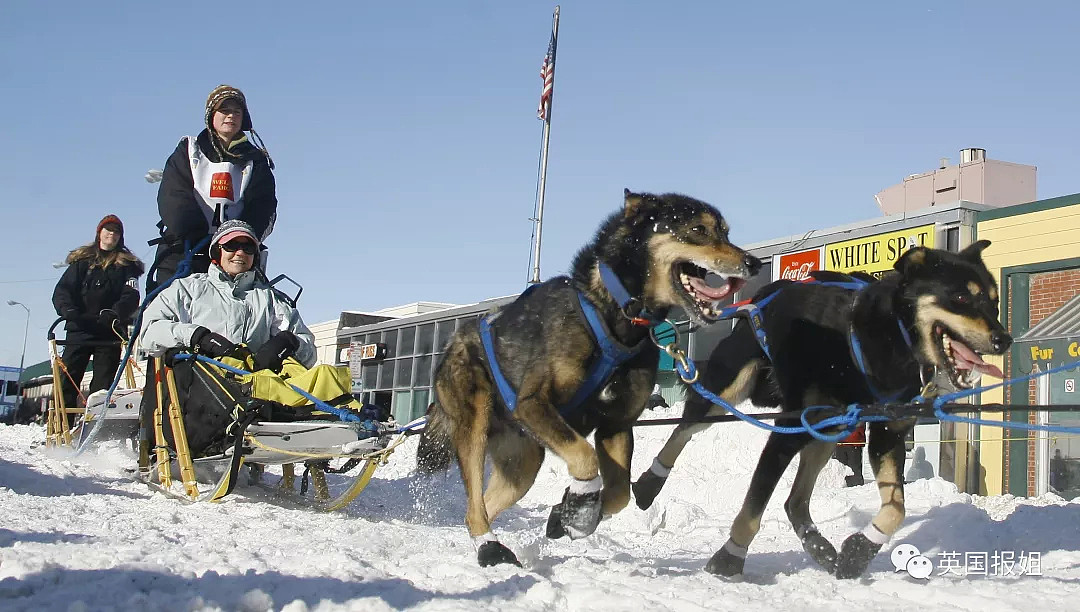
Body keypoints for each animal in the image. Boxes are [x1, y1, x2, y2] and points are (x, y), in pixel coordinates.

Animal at [412, 188, 760, 565]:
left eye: (726, 232)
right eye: (699, 229)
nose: (753, 263)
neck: (614, 316)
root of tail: (455, 339)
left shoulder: (616, 424)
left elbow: (620, 493)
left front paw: (569, 517)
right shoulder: (534, 404)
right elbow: (584, 456)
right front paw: (579, 504)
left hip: (523, 463)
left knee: (481, 506)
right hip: (476, 421)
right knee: (475, 504)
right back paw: (489, 547)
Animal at [630, 239, 1010, 578]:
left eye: (995, 303)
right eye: (961, 297)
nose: (1003, 340)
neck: (872, 342)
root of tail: (764, 295)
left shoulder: (886, 432)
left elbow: (897, 508)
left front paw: (859, 550)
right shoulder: (789, 429)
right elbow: (753, 506)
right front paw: (729, 558)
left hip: (830, 431)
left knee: (794, 501)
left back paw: (820, 547)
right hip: (730, 391)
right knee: (684, 429)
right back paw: (649, 482)